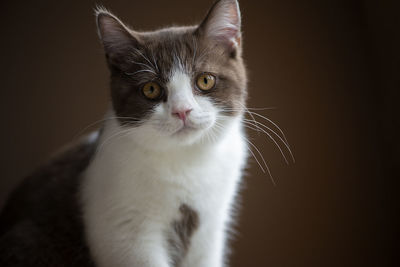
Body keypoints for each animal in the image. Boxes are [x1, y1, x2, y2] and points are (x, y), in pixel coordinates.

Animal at [0, 0, 248, 267]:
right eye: (151, 89)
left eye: (205, 80)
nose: (182, 111)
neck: (184, 160)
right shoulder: (126, 235)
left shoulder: (209, 231)